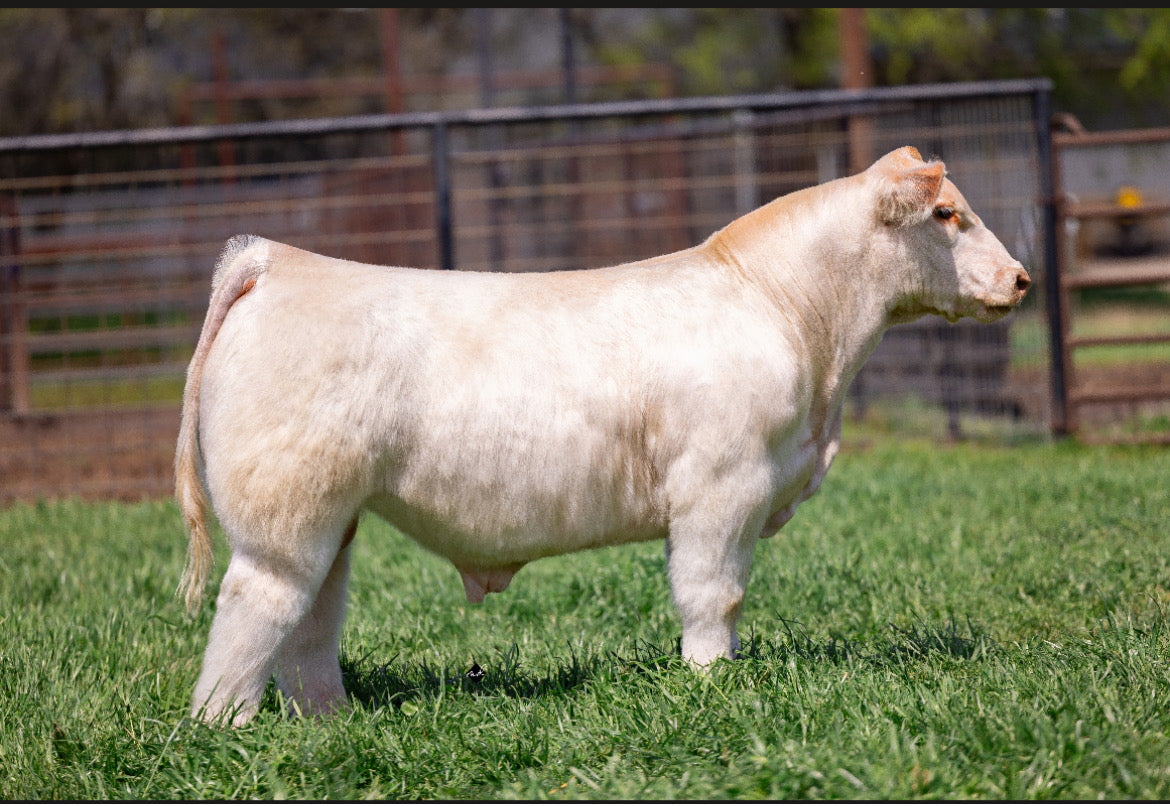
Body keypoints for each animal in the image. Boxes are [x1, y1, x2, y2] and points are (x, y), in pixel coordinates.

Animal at [175, 146, 1030, 725]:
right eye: (947, 214)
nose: (1021, 279)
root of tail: (277, 260)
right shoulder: (723, 489)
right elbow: (713, 596)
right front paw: (711, 684)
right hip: (285, 518)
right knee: (257, 607)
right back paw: (227, 726)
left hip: (331, 516)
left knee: (313, 620)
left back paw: (329, 722)